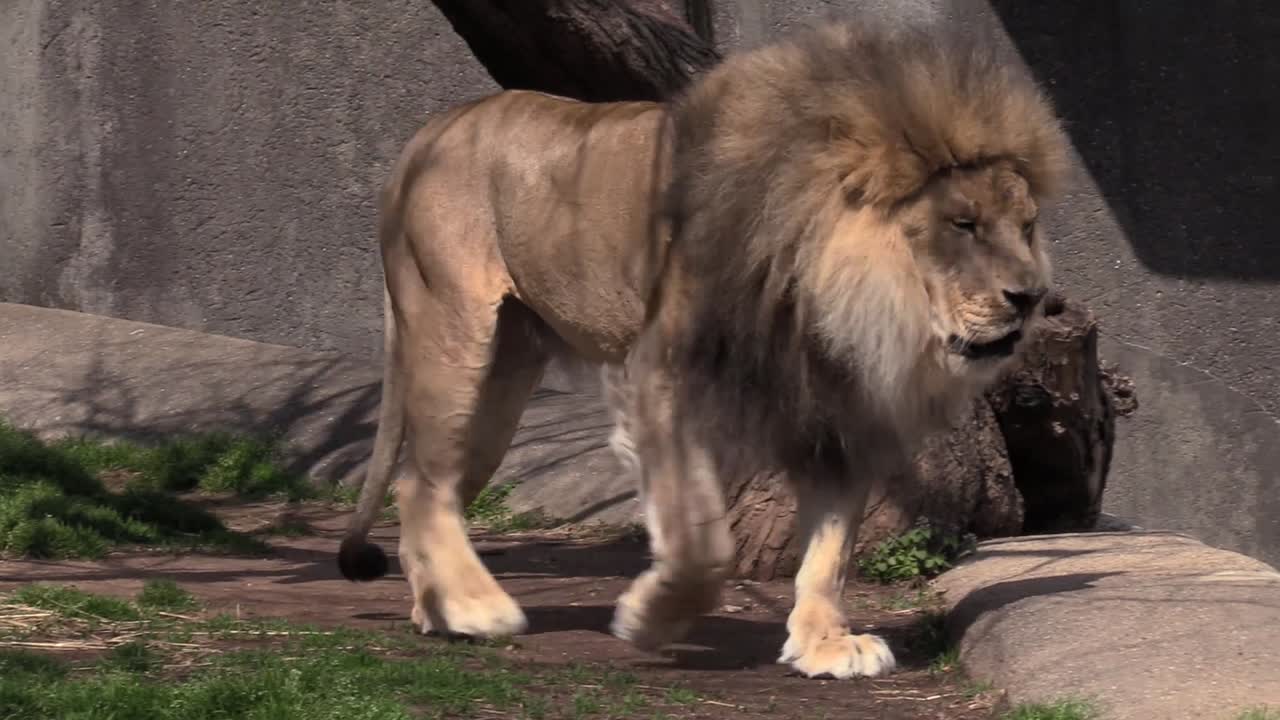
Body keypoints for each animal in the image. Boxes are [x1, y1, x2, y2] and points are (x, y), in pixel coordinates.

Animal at [337, 17, 1069, 680]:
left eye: (1028, 226)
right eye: (962, 224)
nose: (1032, 297)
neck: (823, 289)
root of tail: (429, 133)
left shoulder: (835, 411)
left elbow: (832, 550)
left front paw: (826, 644)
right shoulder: (661, 378)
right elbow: (702, 541)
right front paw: (652, 618)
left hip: (505, 377)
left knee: (431, 484)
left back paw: (437, 610)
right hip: (453, 332)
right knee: (420, 481)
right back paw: (472, 607)